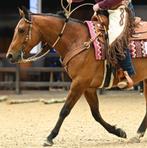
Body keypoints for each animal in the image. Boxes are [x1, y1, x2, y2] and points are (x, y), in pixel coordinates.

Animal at [6, 7, 146, 145]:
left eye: (21, 30)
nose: (9, 55)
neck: (77, 40)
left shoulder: (79, 83)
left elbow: (65, 110)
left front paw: (50, 137)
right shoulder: (88, 87)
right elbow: (96, 113)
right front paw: (118, 131)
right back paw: (138, 134)